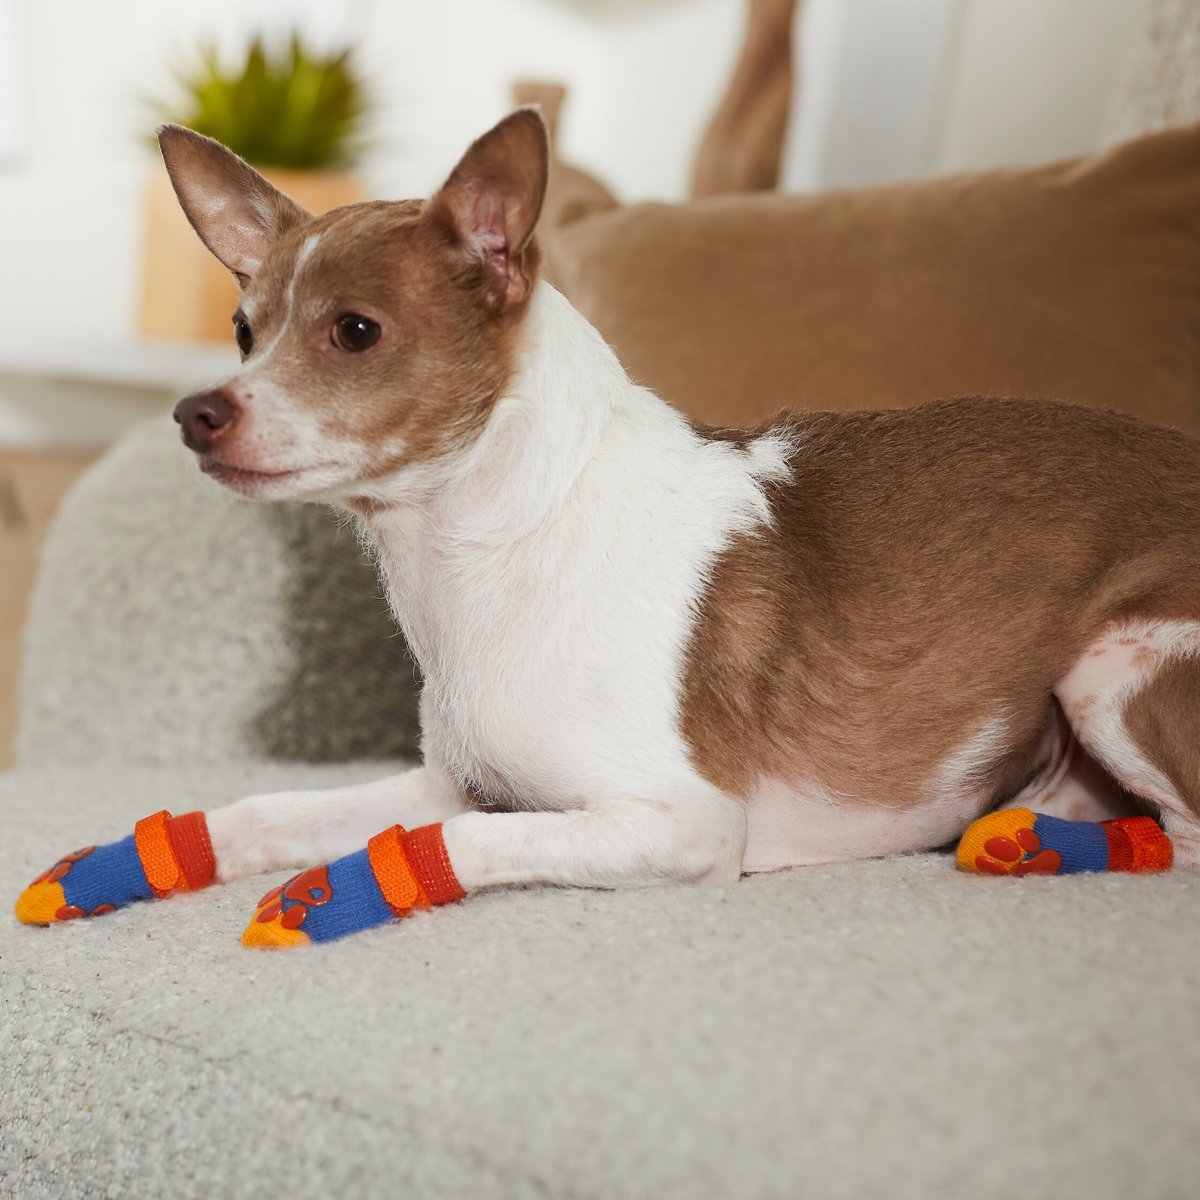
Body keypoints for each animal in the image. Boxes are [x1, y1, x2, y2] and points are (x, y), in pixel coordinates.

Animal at [150, 110, 1200, 916]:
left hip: (1111, 670)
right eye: (244, 333)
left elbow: (462, 839)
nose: (194, 413)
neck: (483, 556)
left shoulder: (681, 823)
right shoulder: (449, 778)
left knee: (1179, 842)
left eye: (355, 332)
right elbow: (265, 812)